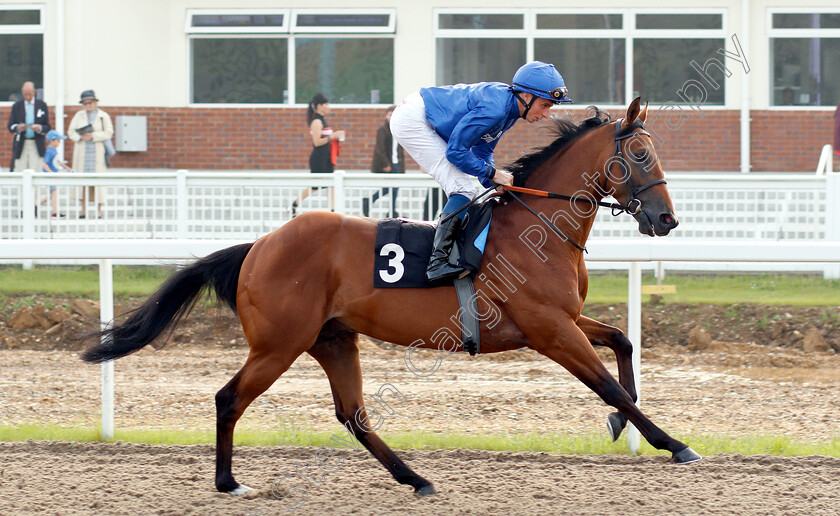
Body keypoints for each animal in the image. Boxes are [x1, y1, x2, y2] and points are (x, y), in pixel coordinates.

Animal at [83, 99, 704, 498]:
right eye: (641, 157)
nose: (666, 219)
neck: (540, 226)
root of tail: (258, 245)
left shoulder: (563, 319)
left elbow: (622, 342)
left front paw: (624, 423)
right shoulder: (548, 329)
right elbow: (606, 383)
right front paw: (672, 442)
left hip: (332, 339)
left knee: (353, 414)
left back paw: (416, 478)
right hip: (280, 343)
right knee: (228, 398)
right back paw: (228, 482)